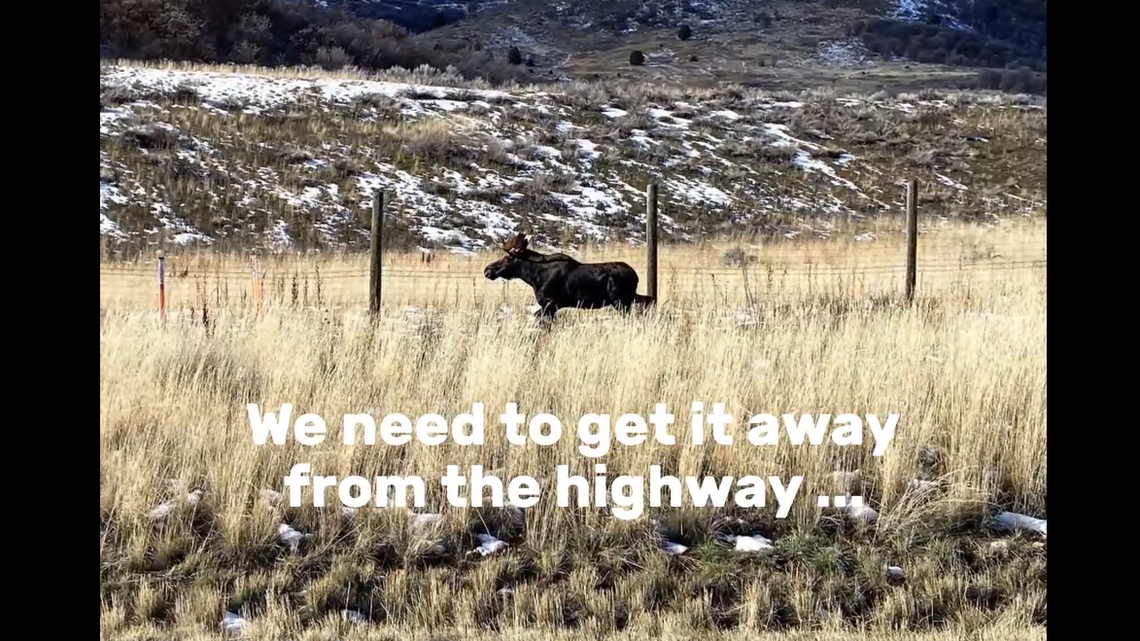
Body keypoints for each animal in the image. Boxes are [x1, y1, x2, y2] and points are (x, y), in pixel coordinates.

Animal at [483, 232, 655, 320]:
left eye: (507, 258)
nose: (487, 270)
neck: (533, 277)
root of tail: (636, 275)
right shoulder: (552, 306)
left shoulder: (550, 304)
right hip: (627, 298)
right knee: (648, 299)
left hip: (620, 300)